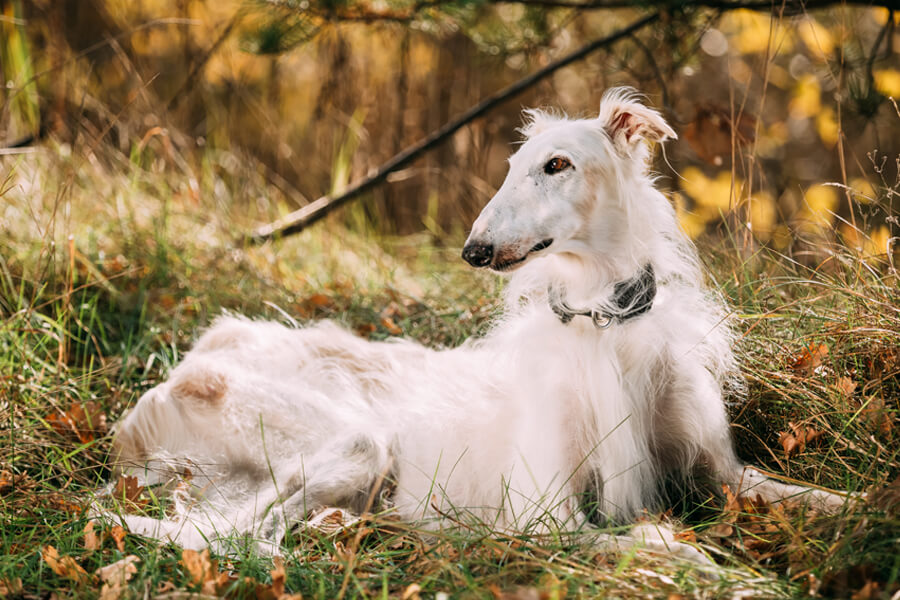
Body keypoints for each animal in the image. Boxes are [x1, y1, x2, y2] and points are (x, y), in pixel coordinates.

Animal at [109, 88, 848, 556]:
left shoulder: (726, 474)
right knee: (234, 532)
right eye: (513, 168)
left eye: (556, 165)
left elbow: (815, 497)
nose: (474, 250)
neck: (603, 322)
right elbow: (662, 547)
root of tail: (197, 353)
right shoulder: (542, 517)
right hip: (355, 442)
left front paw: (859, 517)